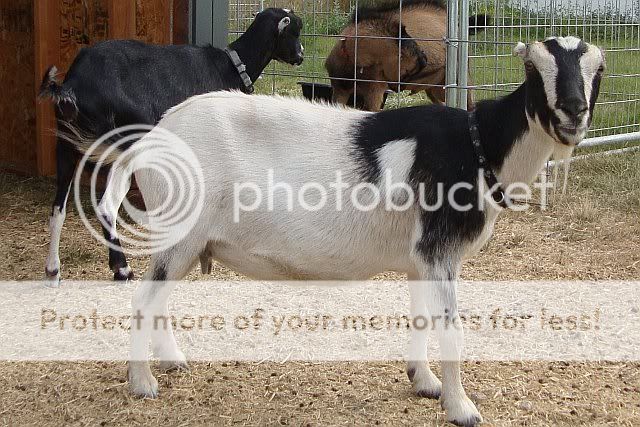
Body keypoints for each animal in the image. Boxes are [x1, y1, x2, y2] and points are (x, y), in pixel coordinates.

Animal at [38, 8, 303, 287]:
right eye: (295, 31)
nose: (301, 56)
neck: (230, 65)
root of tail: (73, 86)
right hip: (127, 144)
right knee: (107, 206)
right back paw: (122, 269)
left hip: (66, 145)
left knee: (57, 210)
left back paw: (53, 271)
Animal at [95, 37, 603, 426]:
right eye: (533, 69)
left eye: (596, 71)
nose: (573, 113)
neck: (479, 147)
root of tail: (150, 138)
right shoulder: (438, 250)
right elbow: (451, 329)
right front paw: (462, 408)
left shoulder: (420, 258)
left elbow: (421, 317)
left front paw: (424, 382)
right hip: (179, 231)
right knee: (143, 300)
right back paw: (143, 383)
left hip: (184, 241)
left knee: (159, 299)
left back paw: (171, 361)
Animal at [325, 0, 488, 111]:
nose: (424, 59)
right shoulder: (339, 88)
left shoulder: (375, 88)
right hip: (435, 87)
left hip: (460, 77)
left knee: (470, 104)